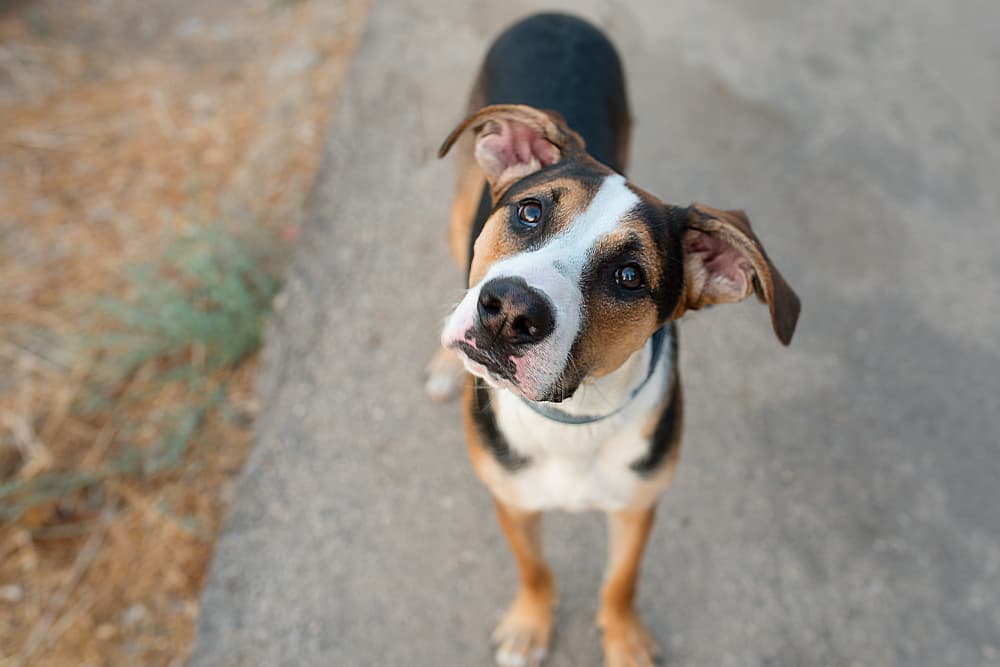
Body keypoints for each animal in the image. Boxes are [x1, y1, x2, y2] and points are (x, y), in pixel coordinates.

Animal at [426, 11, 800, 667]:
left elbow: (621, 581)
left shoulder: (639, 502)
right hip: (458, 211)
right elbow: (536, 569)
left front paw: (625, 642)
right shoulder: (512, 498)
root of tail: (558, 15)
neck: (576, 418)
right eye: (529, 211)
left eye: (630, 276)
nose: (509, 312)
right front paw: (529, 626)